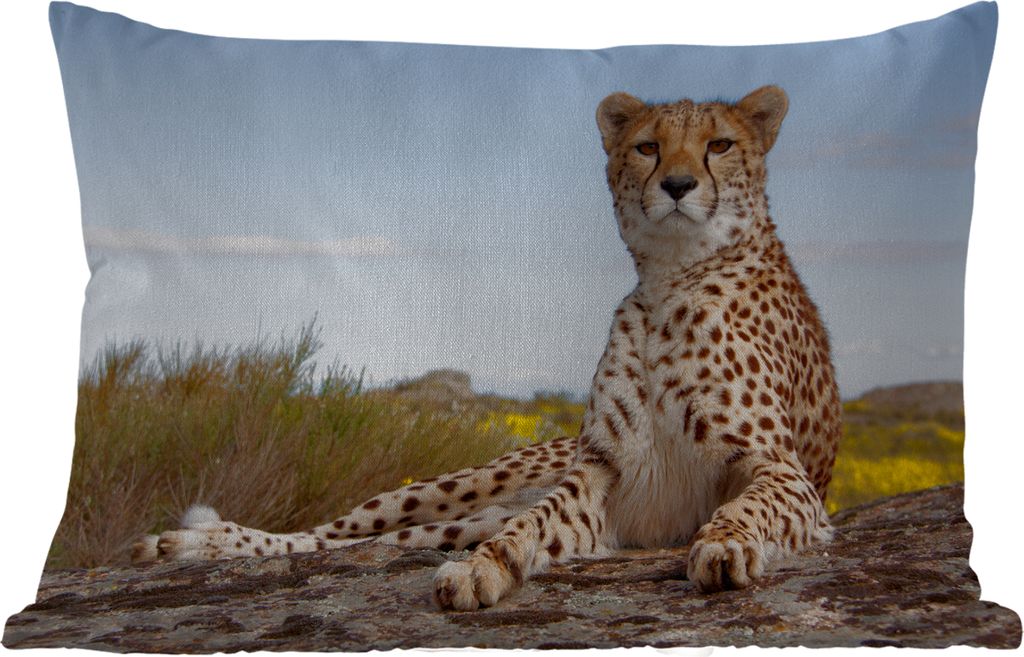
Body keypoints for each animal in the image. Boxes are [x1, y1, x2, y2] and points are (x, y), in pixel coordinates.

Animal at [133, 85, 841, 612]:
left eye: (719, 144)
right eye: (647, 147)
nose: (677, 185)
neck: (672, 278)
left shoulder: (784, 474)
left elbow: (746, 507)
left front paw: (724, 544)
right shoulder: (602, 475)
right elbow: (534, 524)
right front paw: (483, 570)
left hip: (459, 514)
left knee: (381, 541)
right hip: (457, 487)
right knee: (331, 533)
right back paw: (191, 543)